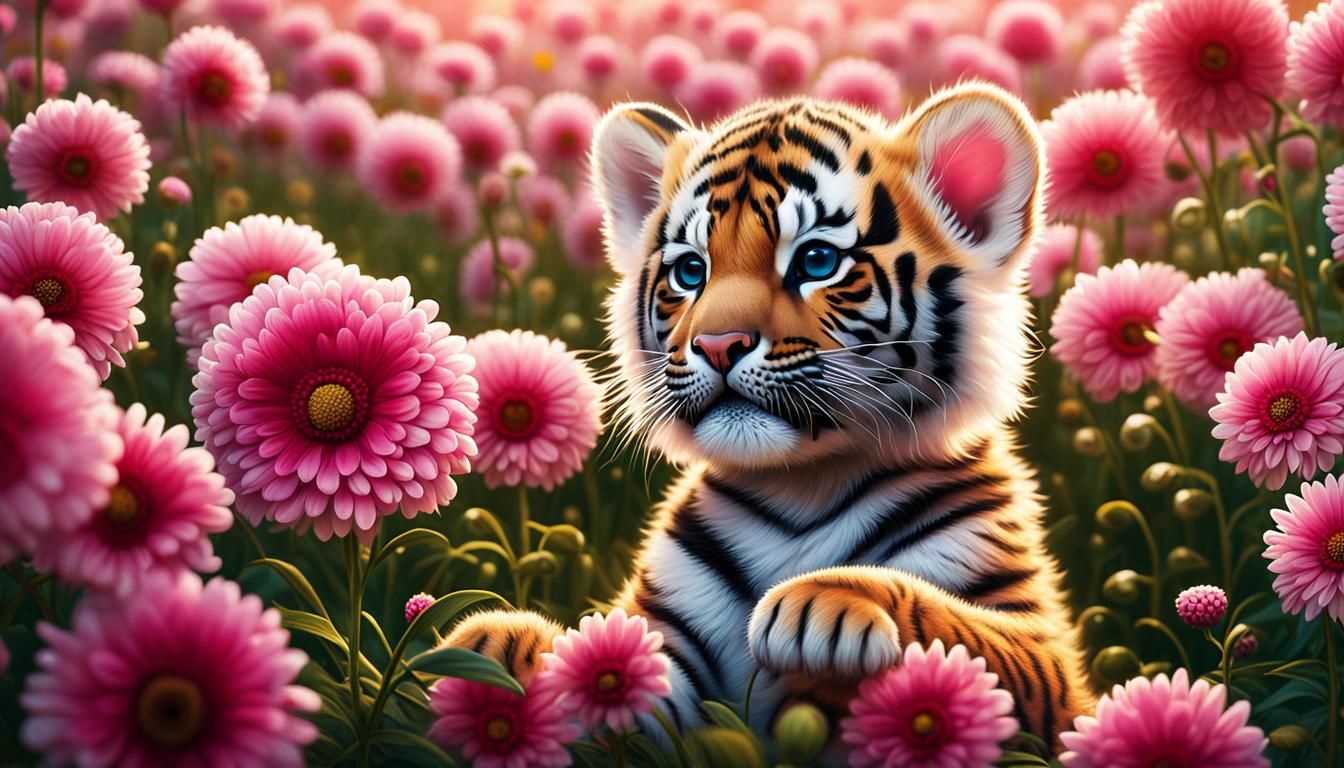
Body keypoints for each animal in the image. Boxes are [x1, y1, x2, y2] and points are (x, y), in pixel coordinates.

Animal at [445, 81, 1092, 750]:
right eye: (691, 271)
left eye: (816, 262)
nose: (717, 345)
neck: (802, 485)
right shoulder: (666, 647)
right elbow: (612, 675)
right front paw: (498, 647)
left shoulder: (1045, 655)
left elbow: (969, 630)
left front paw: (824, 603)